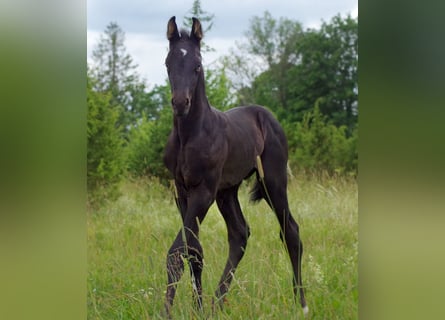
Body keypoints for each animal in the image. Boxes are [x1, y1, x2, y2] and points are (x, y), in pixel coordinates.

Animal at [164, 16, 308, 316]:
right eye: (168, 63)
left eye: (197, 65)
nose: (181, 103)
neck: (191, 134)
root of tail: (266, 115)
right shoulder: (182, 192)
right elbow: (193, 250)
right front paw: (198, 309)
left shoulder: (203, 191)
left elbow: (177, 252)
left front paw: (165, 311)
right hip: (227, 191)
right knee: (240, 234)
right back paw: (217, 303)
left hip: (272, 182)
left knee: (291, 231)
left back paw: (301, 303)